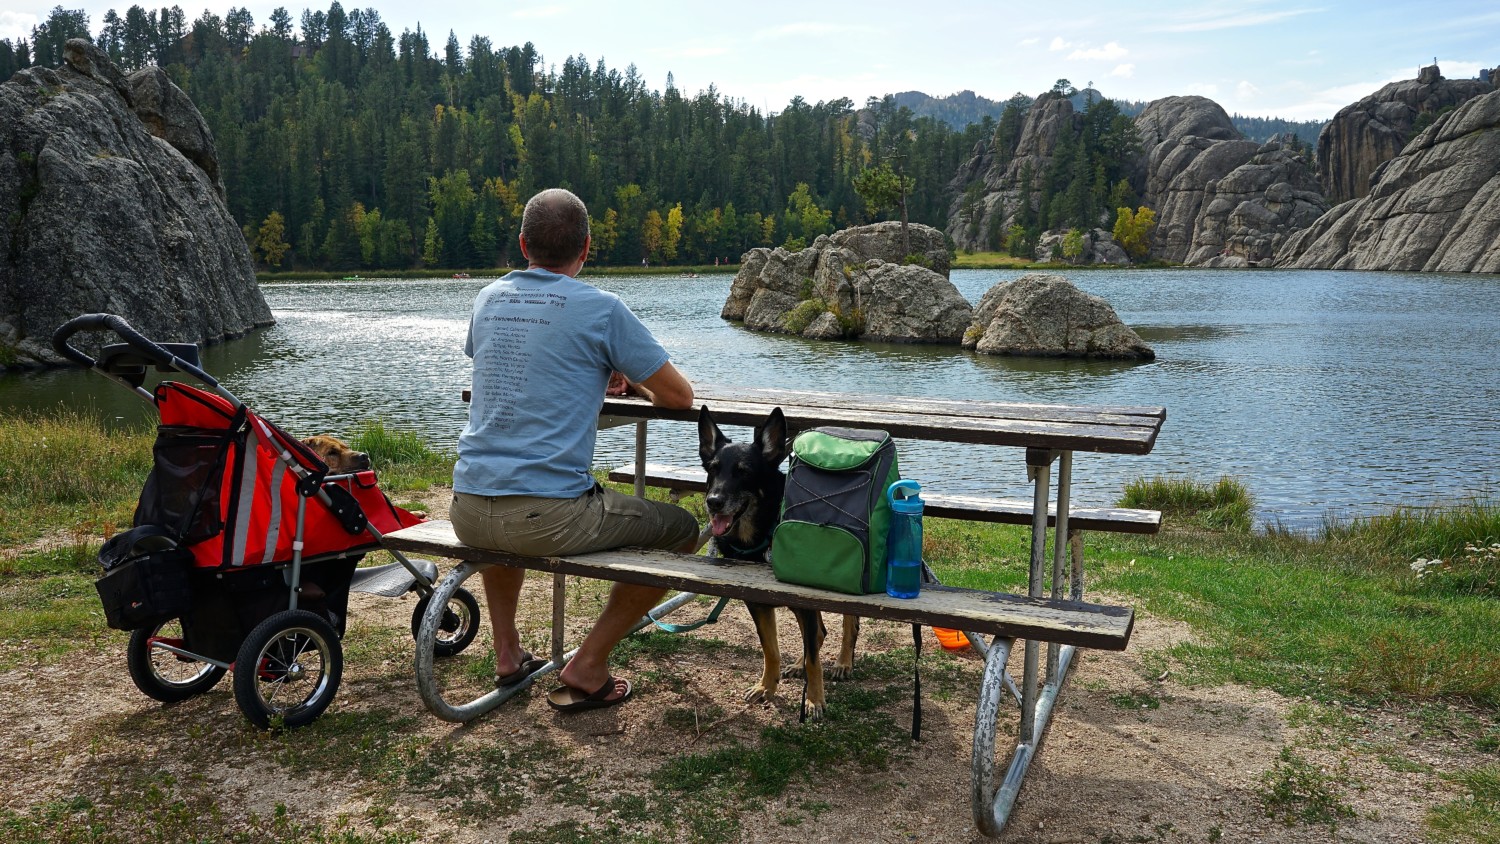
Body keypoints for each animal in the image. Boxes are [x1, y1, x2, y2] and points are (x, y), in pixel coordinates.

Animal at [696, 404, 864, 719]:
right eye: (712, 469)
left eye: (744, 472)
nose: (713, 502)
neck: (760, 535)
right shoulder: (757, 602)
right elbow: (770, 649)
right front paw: (766, 686)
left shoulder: (806, 600)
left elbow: (815, 659)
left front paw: (814, 700)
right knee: (817, 634)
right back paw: (798, 665)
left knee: (847, 624)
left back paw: (843, 662)